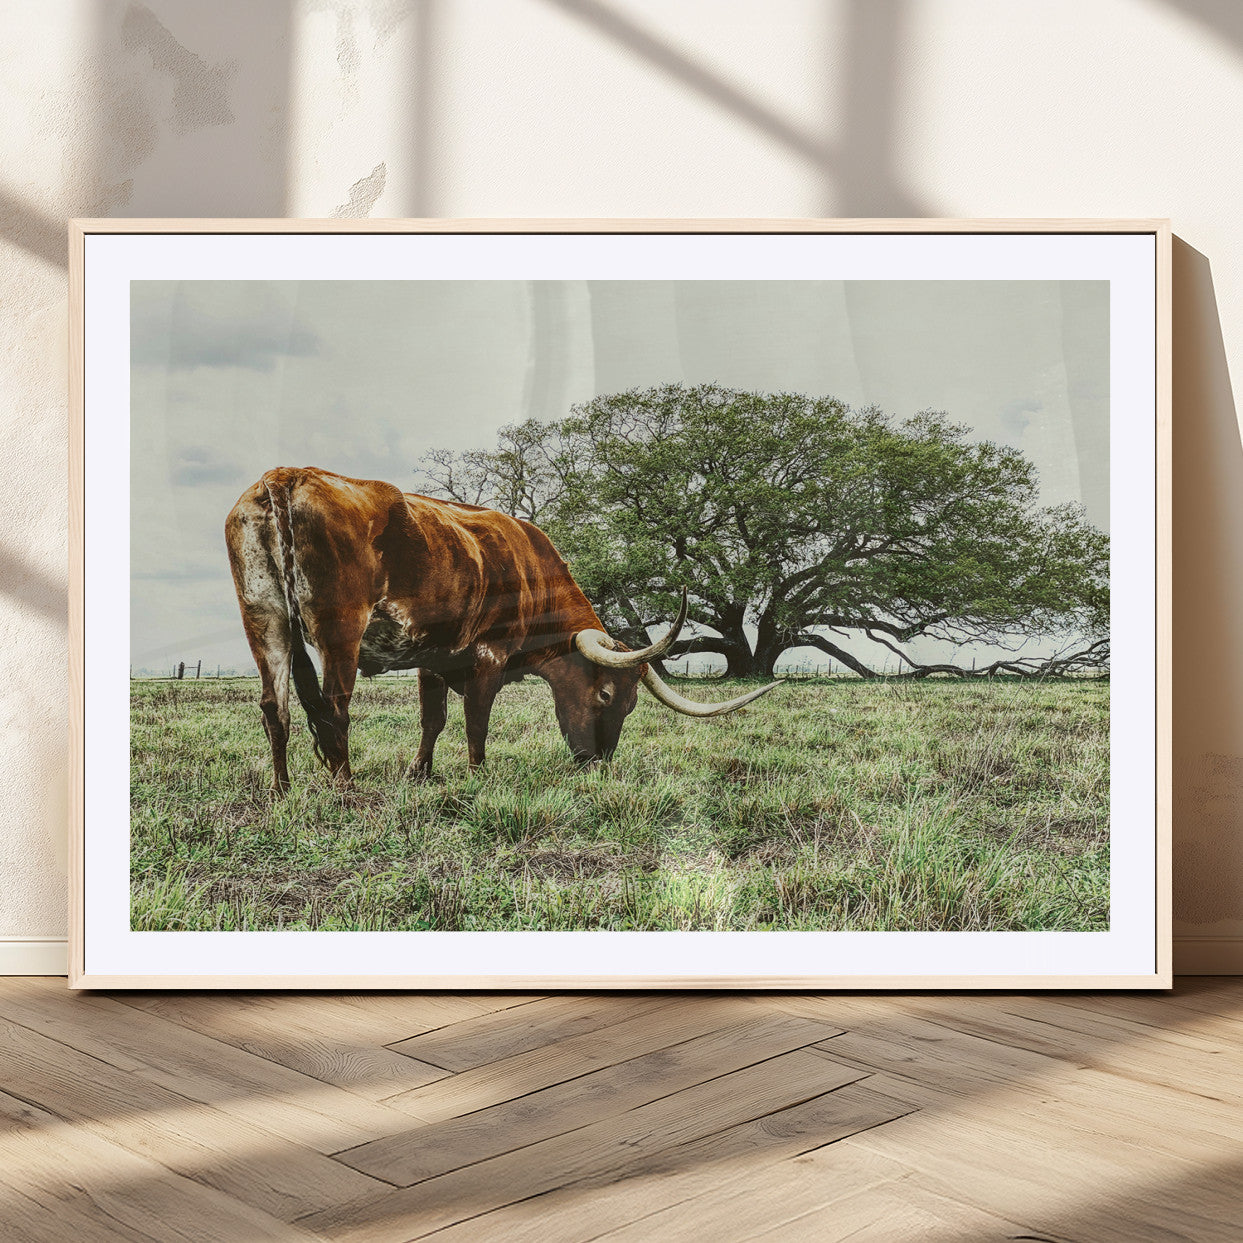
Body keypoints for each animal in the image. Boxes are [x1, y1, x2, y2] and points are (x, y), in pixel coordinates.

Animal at [225, 466, 781, 792]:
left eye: (631, 704)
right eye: (605, 695)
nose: (596, 764)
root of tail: (285, 476)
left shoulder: (431, 656)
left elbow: (432, 720)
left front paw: (420, 773)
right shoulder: (487, 655)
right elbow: (476, 720)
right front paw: (477, 775)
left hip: (264, 621)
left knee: (275, 707)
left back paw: (281, 790)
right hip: (340, 627)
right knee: (334, 706)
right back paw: (345, 788)